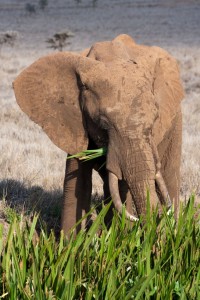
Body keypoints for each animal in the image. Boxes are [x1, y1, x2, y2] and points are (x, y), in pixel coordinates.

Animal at [13, 33, 184, 234]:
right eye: (103, 123)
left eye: (155, 119)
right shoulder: (75, 122)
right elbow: (78, 183)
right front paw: (71, 242)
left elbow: (122, 184)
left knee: (168, 175)